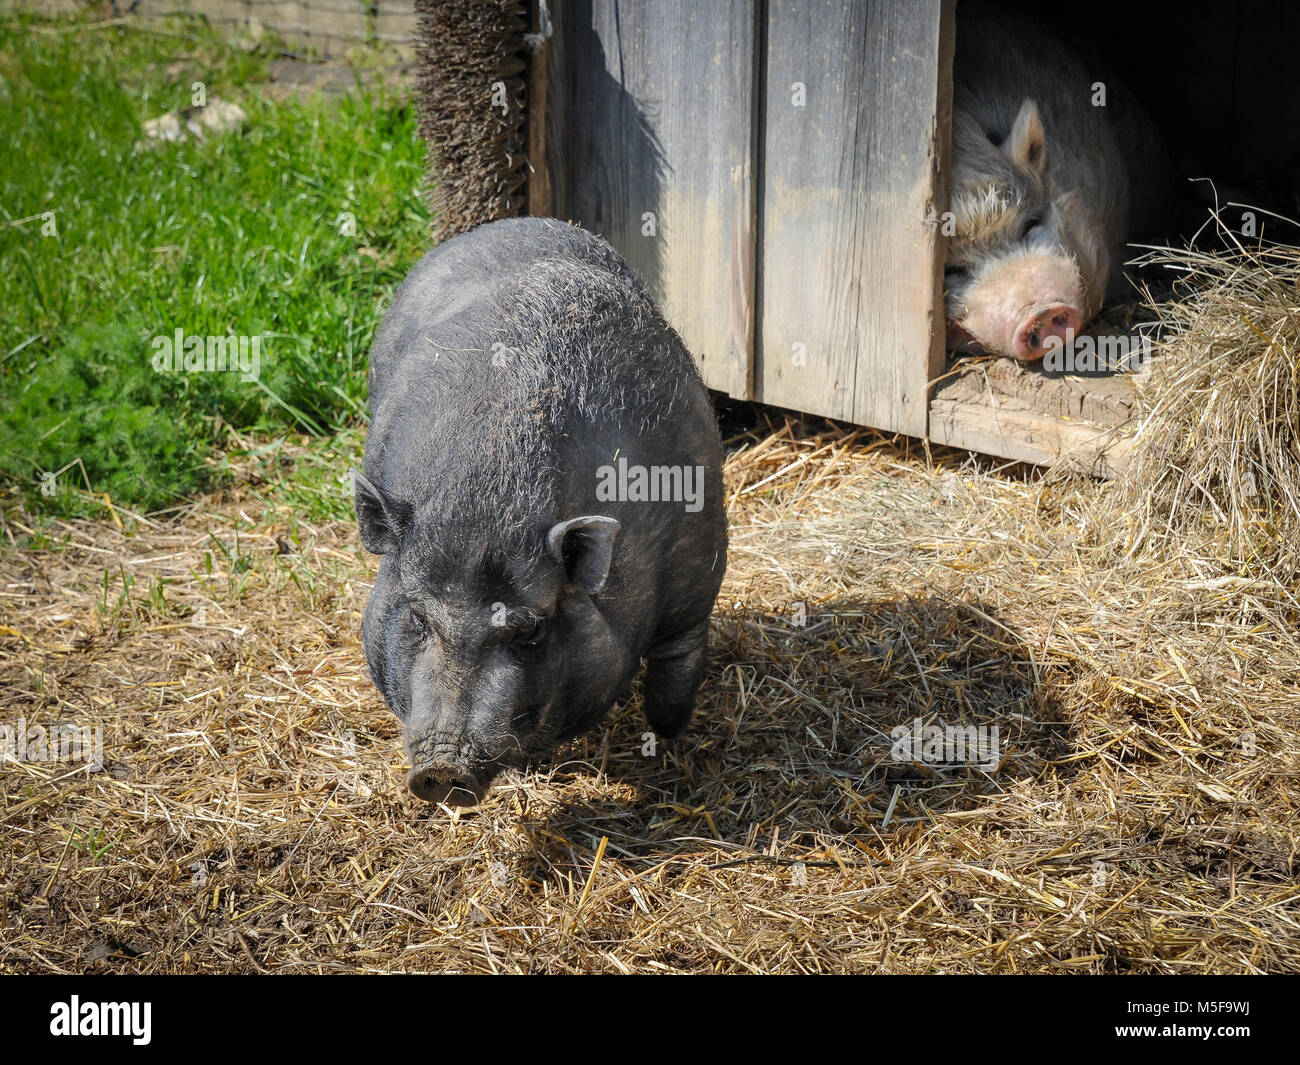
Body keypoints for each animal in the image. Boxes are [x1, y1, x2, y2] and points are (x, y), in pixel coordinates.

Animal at [353, 218, 733, 806]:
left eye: (529, 629)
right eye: (416, 617)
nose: (442, 770)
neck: (489, 503)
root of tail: (511, 224)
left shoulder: (697, 576)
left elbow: (678, 667)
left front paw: (670, 736)